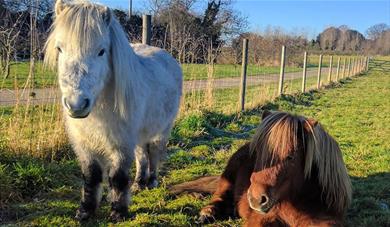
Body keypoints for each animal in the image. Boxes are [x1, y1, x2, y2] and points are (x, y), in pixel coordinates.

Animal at [45, 0, 182, 221]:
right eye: (60, 49)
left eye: (102, 51)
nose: (77, 105)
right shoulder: (85, 144)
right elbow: (91, 176)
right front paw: (85, 211)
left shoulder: (121, 142)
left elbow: (117, 177)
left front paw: (118, 211)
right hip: (138, 135)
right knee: (142, 156)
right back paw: (139, 183)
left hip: (161, 130)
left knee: (153, 154)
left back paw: (151, 181)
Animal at [170, 111, 350, 226]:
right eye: (258, 151)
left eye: (291, 156)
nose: (256, 199)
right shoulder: (261, 218)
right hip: (228, 178)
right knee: (219, 196)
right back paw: (207, 213)